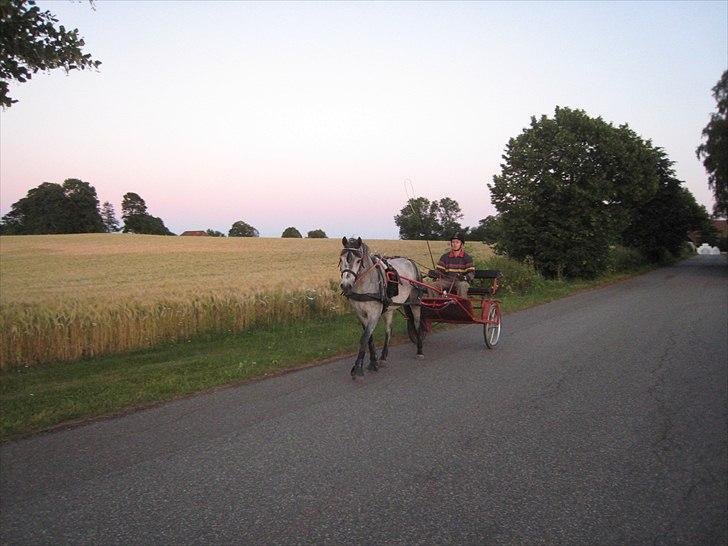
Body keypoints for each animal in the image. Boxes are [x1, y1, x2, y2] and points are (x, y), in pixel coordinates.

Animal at [338, 236, 424, 376]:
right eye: (341, 259)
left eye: (358, 261)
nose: (346, 285)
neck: (365, 284)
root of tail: (410, 261)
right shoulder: (360, 314)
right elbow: (369, 338)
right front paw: (374, 361)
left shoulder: (374, 314)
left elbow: (364, 338)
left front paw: (358, 368)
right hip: (389, 307)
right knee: (388, 330)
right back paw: (383, 357)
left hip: (415, 302)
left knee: (417, 324)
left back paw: (420, 350)